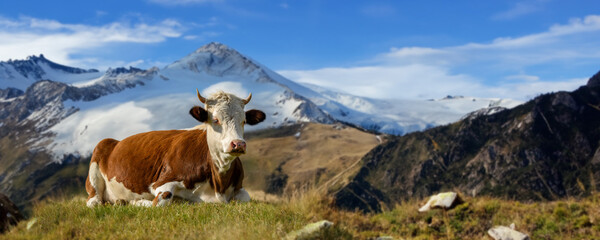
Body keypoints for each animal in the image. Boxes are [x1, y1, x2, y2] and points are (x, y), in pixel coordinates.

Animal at [84, 90, 264, 206]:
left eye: (244, 121)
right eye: (216, 120)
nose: (238, 144)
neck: (219, 183)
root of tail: (115, 141)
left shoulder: (239, 188)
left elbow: (246, 198)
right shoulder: (162, 182)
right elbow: (159, 202)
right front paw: (138, 202)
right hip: (97, 160)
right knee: (94, 201)